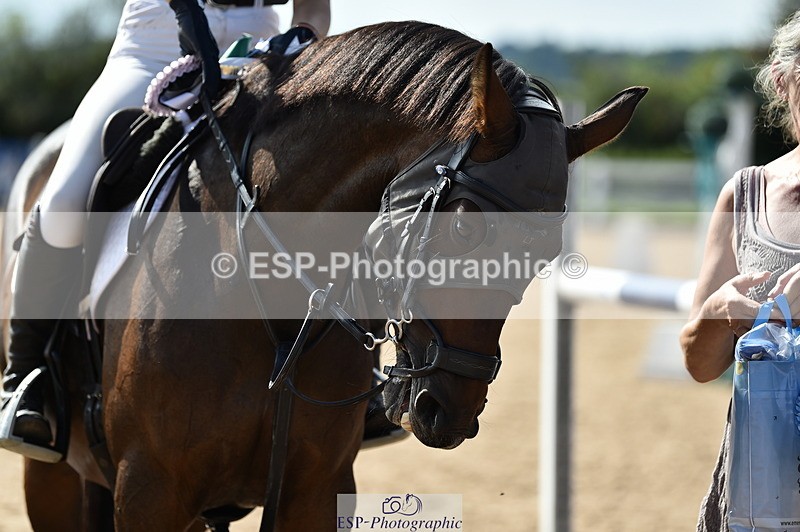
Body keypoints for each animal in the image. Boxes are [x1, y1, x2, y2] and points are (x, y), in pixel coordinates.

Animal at [3, 21, 646, 531]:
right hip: (57, 482)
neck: (264, 305)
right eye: (465, 224)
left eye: (547, 252)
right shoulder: (150, 491)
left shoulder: (315, 493)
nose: (450, 412)